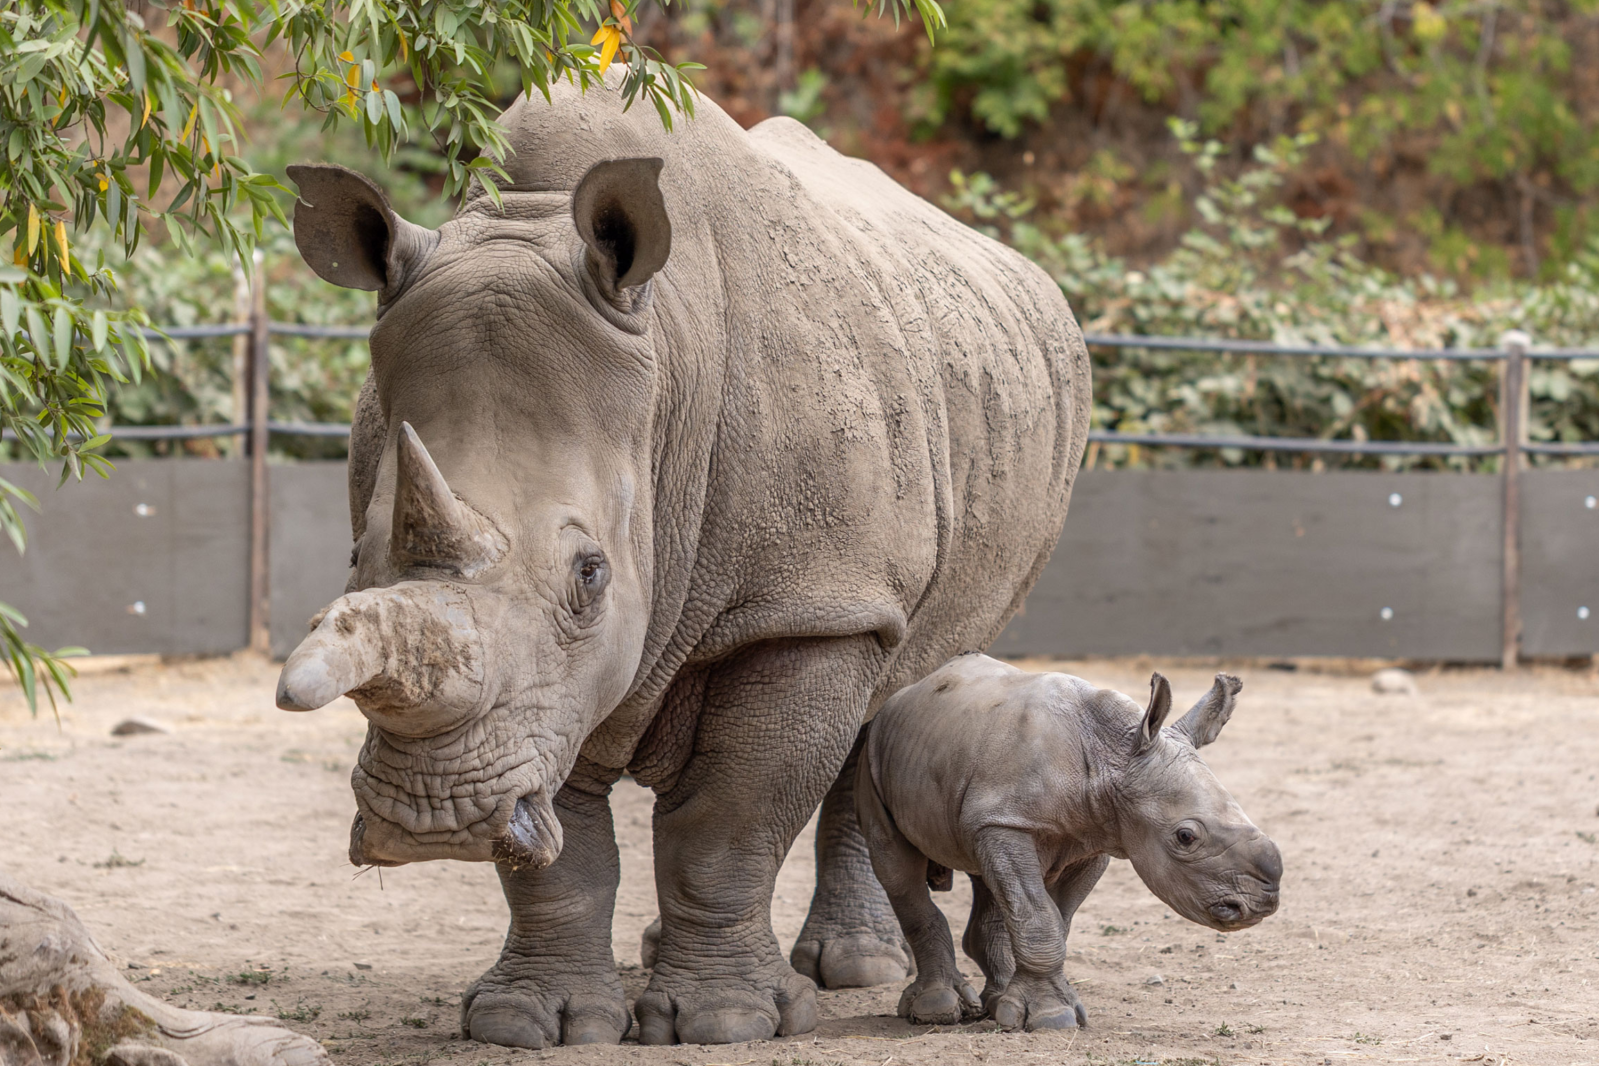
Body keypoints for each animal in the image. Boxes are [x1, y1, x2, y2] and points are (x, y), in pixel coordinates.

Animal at [274, 71, 1090, 1048]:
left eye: (589, 575)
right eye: (357, 554)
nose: (430, 820)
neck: (666, 368)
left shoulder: (806, 601)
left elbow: (729, 818)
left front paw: (725, 1021)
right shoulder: (546, 692)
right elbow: (562, 845)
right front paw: (532, 1021)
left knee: (890, 683)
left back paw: (854, 969)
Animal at [857, 655, 1283, 1030]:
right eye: (1186, 837)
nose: (1262, 903)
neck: (1113, 756)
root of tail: (909, 691)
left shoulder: (1091, 837)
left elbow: (1055, 919)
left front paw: (1043, 1008)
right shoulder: (1006, 821)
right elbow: (1038, 917)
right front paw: (1050, 1017)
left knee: (986, 875)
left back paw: (994, 1003)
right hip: (873, 752)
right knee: (898, 869)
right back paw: (938, 1009)